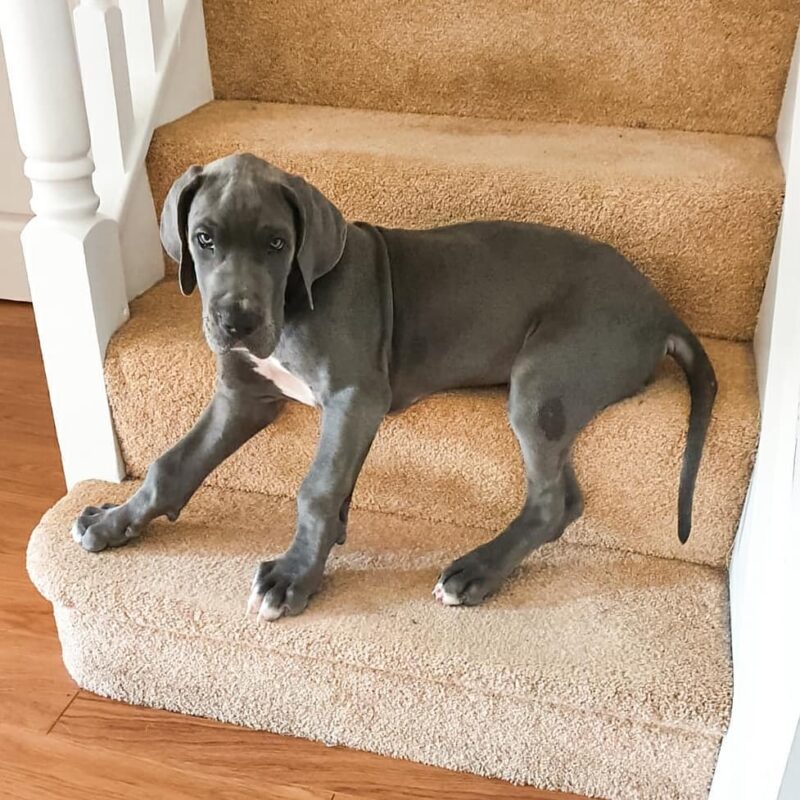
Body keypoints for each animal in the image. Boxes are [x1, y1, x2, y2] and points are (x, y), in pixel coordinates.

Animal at [71, 153, 717, 621]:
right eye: (204, 239)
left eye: (277, 243)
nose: (237, 323)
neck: (296, 300)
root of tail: (660, 309)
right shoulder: (245, 396)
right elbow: (172, 464)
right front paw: (114, 521)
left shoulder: (355, 395)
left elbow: (317, 487)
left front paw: (293, 576)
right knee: (566, 498)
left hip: (544, 380)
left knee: (552, 498)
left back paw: (475, 572)